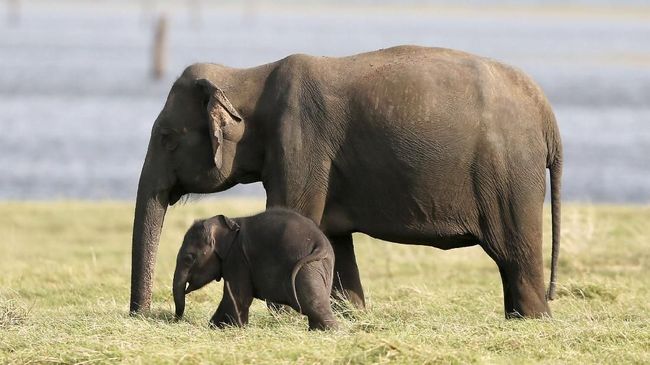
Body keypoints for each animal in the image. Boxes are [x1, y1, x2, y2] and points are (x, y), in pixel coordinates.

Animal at [172, 208, 336, 330]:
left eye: (188, 258)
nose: (176, 321)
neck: (231, 221)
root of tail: (321, 243)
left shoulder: (237, 258)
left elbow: (238, 296)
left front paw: (227, 328)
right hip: (319, 267)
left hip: (306, 268)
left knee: (312, 303)